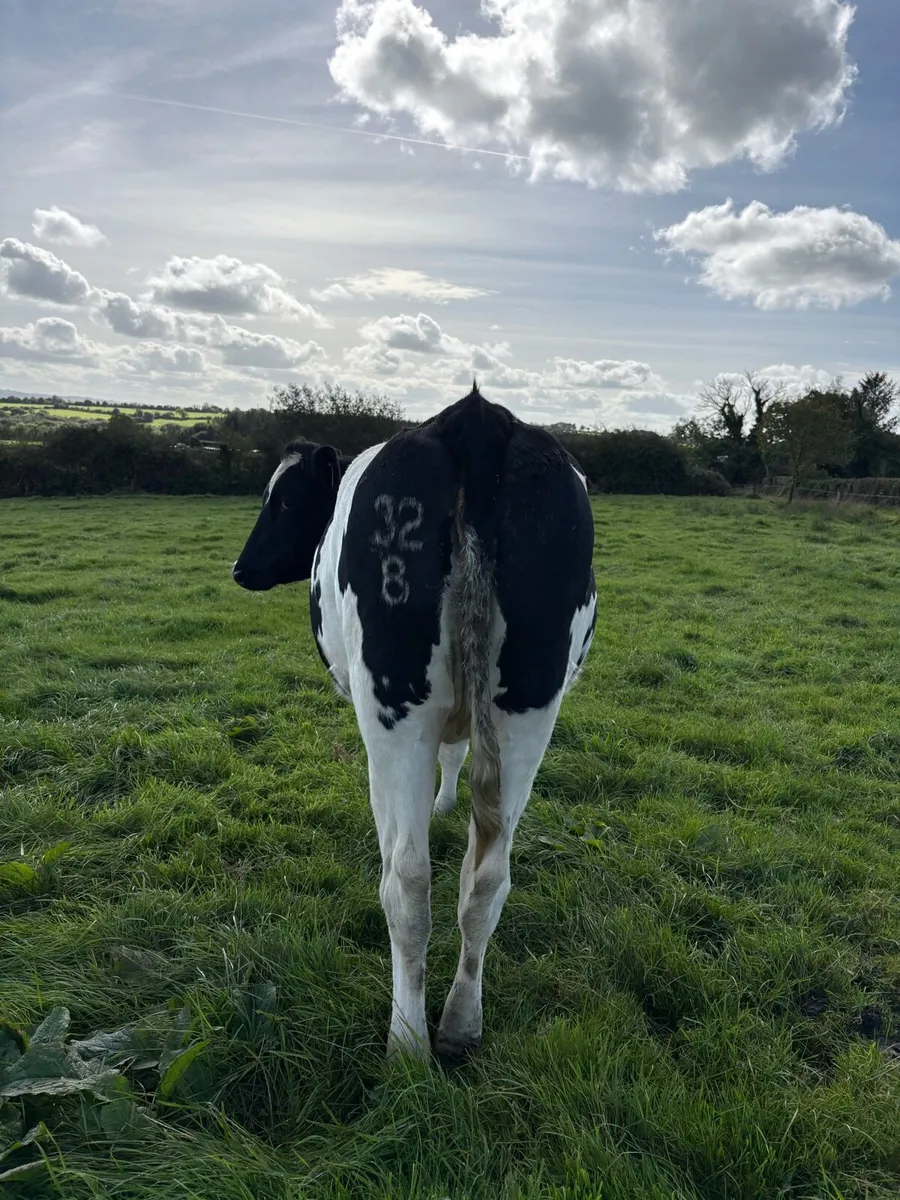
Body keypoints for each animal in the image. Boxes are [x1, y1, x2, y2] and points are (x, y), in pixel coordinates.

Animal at [233, 385, 596, 1060]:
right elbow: (457, 763)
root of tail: (475, 421)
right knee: (488, 879)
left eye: (286, 499)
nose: (241, 569)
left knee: (406, 881)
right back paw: (460, 1023)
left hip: (394, 703)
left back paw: (407, 1042)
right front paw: (447, 803)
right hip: (529, 707)